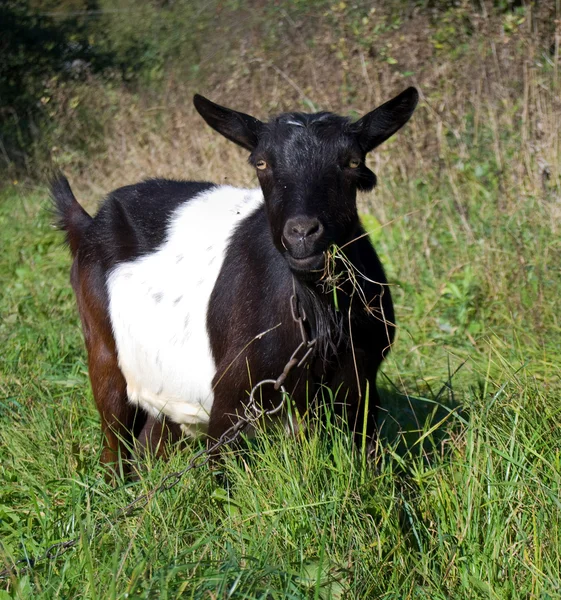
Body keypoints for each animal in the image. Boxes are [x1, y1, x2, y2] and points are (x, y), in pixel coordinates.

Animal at [52, 86, 418, 472]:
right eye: (262, 163)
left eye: (351, 162)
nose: (302, 232)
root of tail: (88, 222)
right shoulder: (230, 401)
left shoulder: (361, 389)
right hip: (104, 353)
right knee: (114, 446)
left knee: (150, 442)